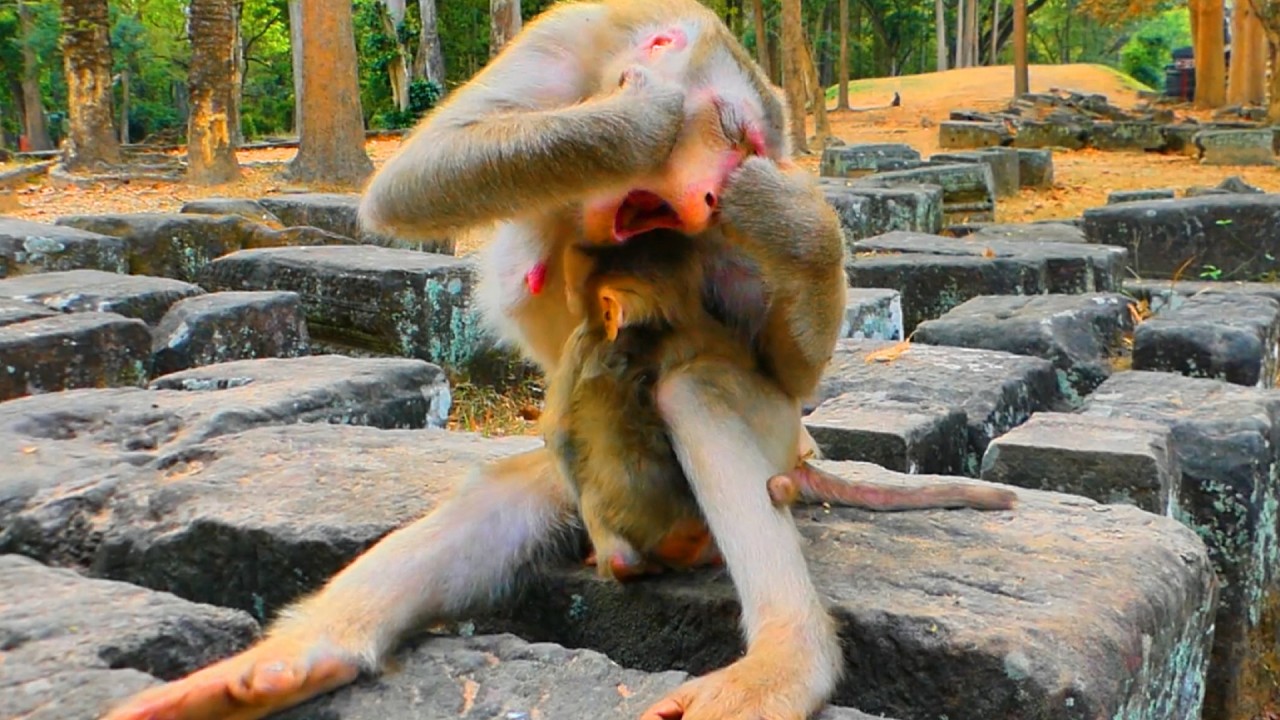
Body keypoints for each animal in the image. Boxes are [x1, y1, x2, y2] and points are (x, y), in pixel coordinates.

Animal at [102, 4, 1018, 720]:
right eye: (730, 131)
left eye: (747, 148)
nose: (714, 194)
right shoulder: (571, 33)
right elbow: (414, 178)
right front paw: (640, 116)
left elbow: (789, 364)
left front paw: (786, 214)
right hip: (579, 492)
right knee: (502, 499)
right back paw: (294, 662)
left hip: (776, 440)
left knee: (699, 389)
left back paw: (785, 663)